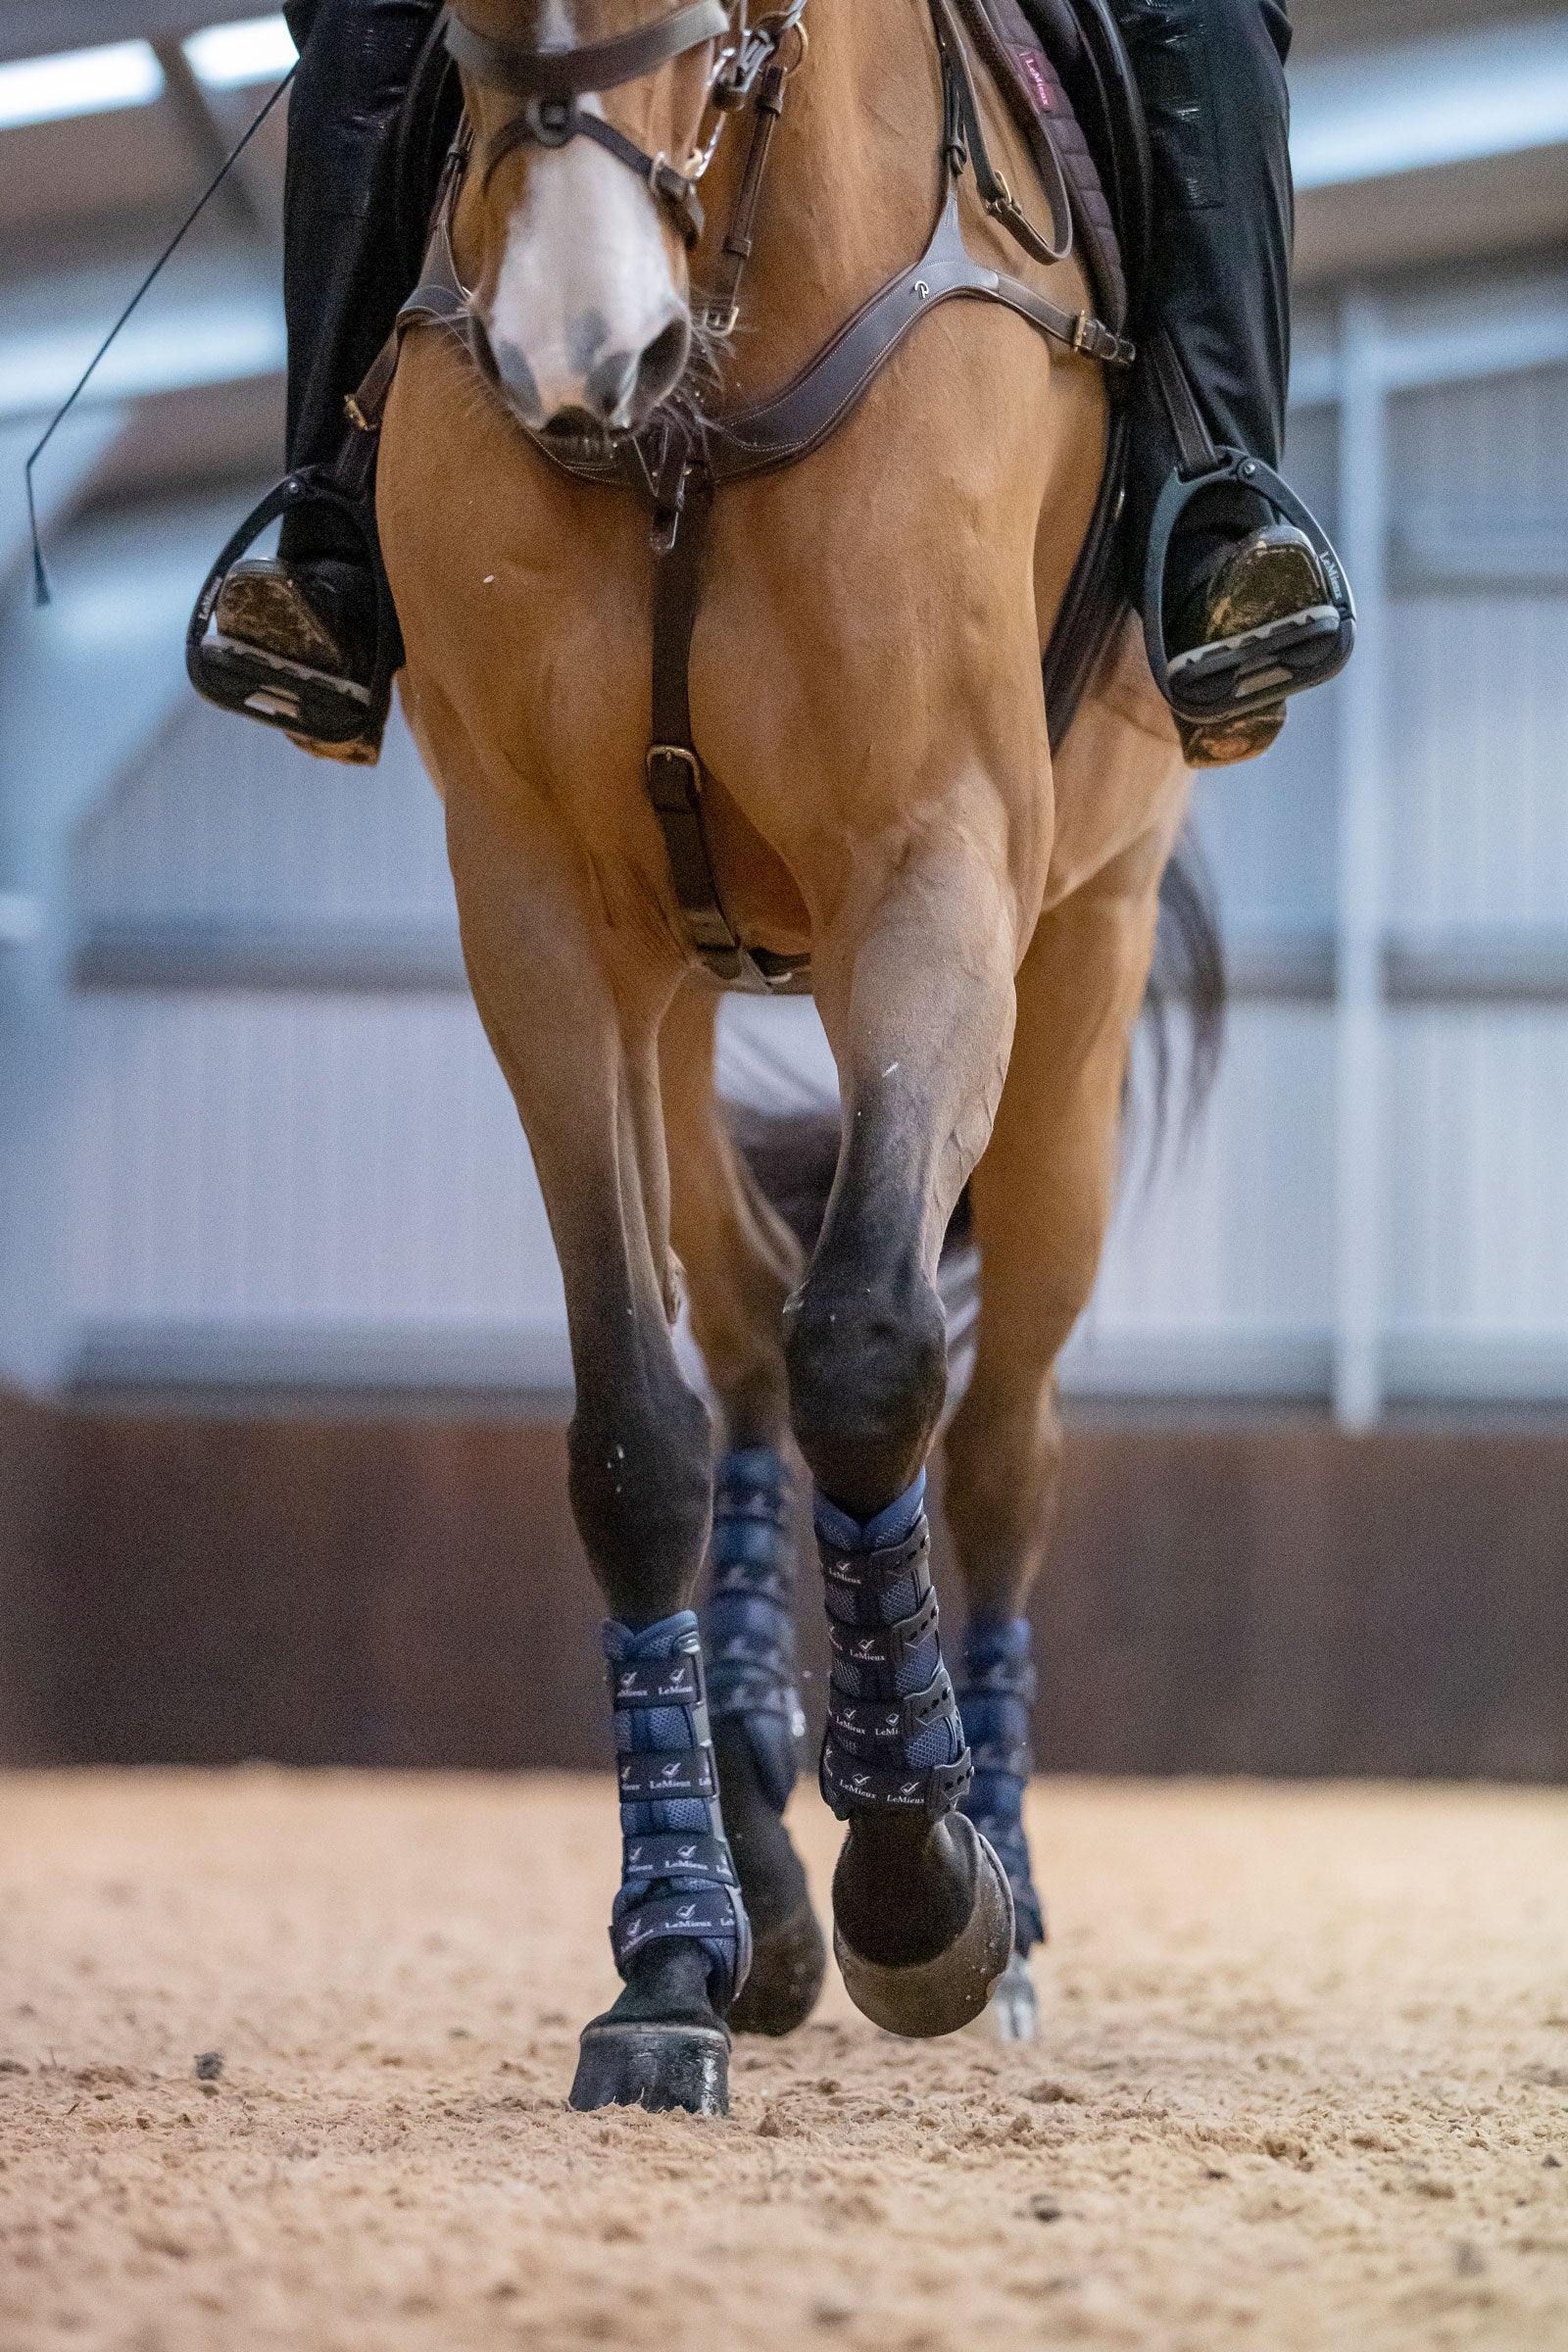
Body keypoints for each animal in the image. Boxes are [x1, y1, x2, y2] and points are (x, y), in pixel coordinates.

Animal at [374, 0, 1194, 2113]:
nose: (576, 354)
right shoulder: (537, 917)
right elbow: (633, 1436)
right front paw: (669, 1956)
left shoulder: (935, 869)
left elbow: (876, 1350)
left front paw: (921, 1891)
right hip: (675, 989)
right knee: (738, 1322)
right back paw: (746, 1857)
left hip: (1078, 973)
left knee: (994, 1447)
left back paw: (1001, 1894)